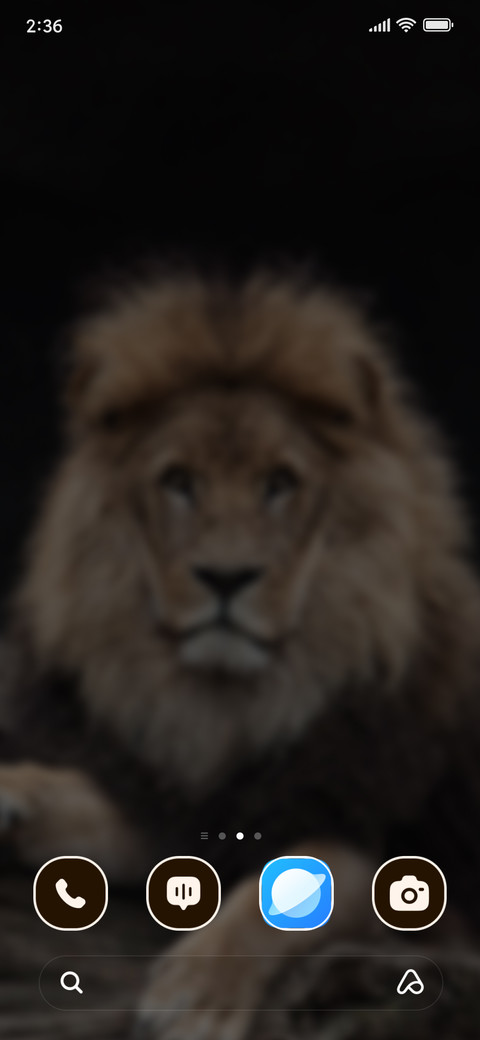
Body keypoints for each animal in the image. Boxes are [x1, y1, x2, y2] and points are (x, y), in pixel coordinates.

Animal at [1, 272, 480, 1039]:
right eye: (178, 482)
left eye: (279, 484)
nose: (226, 578)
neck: (232, 707)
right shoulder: (198, 801)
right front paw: (19, 789)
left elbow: (323, 866)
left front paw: (196, 991)